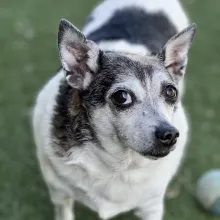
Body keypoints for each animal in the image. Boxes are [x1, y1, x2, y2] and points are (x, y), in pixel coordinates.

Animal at [32, 0, 196, 220]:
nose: (169, 134)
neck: (119, 164)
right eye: (122, 97)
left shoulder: (151, 206)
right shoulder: (60, 195)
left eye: (171, 92)